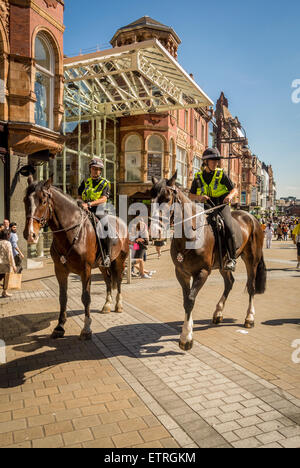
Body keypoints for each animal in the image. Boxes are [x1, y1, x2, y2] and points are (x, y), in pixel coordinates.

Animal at [24, 176, 129, 340]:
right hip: (102, 265)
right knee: (107, 281)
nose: (30, 234)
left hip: (119, 260)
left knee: (117, 281)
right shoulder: (60, 270)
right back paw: (106, 305)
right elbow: (63, 297)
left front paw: (86, 329)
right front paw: (59, 326)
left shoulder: (85, 270)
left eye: (43, 201)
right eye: (25, 201)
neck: (72, 233)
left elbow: (86, 297)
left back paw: (118, 305)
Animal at [151, 175, 266, 352]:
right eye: (151, 198)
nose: (154, 231)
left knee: (251, 287)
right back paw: (218, 313)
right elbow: (186, 300)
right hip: (224, 264)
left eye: (167, 199)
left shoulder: (202, 272)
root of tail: (252, 217)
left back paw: (249, 318)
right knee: (229, 282)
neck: (191, 235)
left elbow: (190, 300)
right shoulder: (181, 272)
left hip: (252, 259)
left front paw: (186, 337)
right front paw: (188, 328)